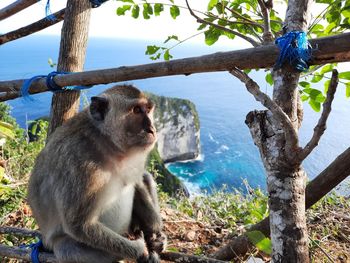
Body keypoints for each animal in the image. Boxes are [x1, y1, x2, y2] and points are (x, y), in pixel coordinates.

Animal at [27, 85, 167, 262]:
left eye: (148, 110)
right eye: (136, 110)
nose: (151, 129)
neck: (107, 142)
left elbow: (137, 181)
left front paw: (154, 233)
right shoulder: (78, 162)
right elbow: (79, 225)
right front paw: (140, 249)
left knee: (145, 177)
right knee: (68, 249)